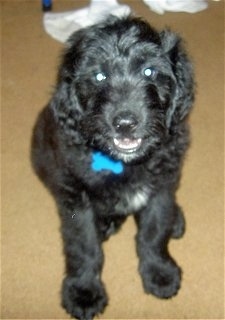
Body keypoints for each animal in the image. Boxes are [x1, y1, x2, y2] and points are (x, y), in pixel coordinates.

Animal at [31, 15, 195, 320]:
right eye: (99, 76)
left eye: (149, 71)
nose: (125, 123)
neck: (124, 163)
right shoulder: (76, 199)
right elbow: (84, 247)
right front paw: (83, 292)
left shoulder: (161, 186)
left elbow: (154, 231)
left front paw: (159, 272)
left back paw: (175, 219)